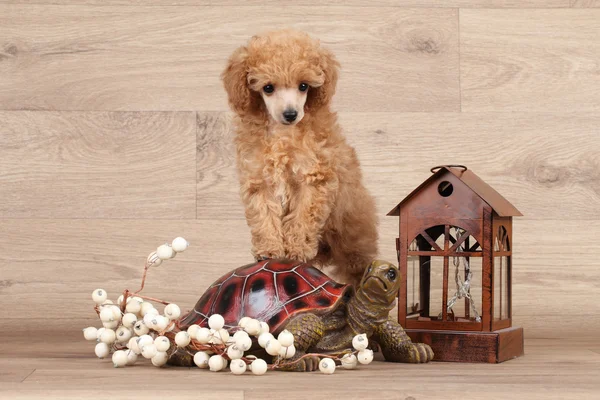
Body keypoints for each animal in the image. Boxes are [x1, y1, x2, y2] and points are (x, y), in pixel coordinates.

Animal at [220, 29, 380, 284]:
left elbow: (304, 216)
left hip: (351, 236)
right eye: (268, 88)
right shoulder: (259, 180)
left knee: (357, 266)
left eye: (303, 86)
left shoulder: (314, 177)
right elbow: (264, 216)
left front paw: (297, 249)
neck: (282, 134)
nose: (290, 114)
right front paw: (270, 249)